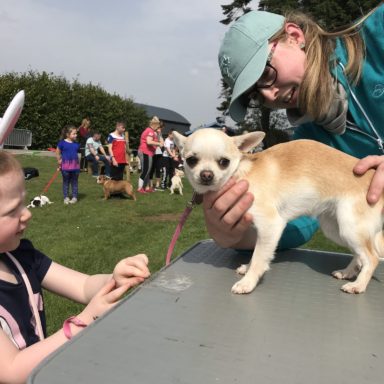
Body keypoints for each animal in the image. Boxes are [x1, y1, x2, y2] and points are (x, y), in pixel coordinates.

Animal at [174, 128, 384, 294]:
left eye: (224, 162)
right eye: (191, 160)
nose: (206, 175)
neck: (242, 172)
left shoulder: (270, 225)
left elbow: (259, 257)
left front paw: (248, 282)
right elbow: (256, 252)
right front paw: (247, 268)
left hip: (350, 226)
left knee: (372, 257)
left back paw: (358, 285)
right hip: (336, 229)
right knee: (360, 254)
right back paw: (348, 272)